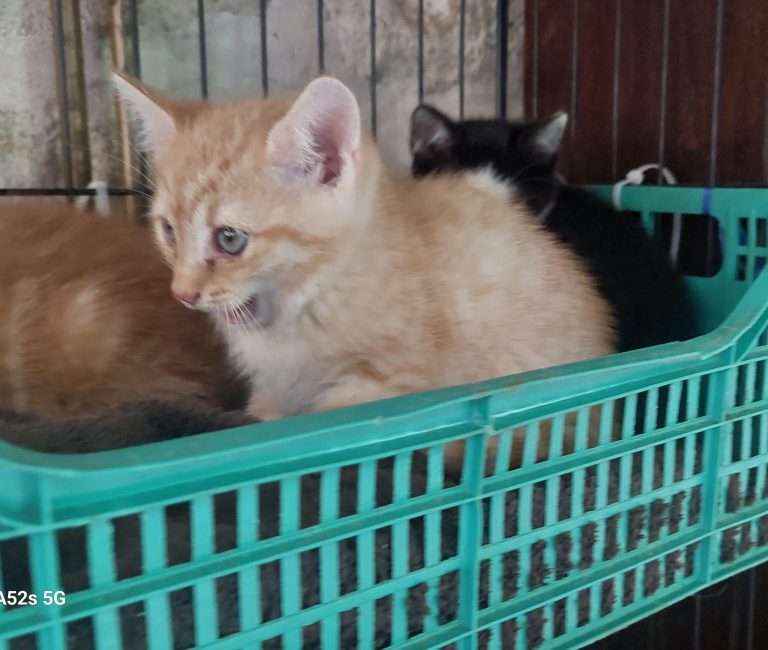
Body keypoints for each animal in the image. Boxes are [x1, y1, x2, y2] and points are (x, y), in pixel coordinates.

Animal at [113, 73, 616, 467]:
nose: (182, 293)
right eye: (168, 231)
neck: (310, 296)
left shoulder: (390, 387)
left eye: (230, 239)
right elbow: (264, 414)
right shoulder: (275, 384)